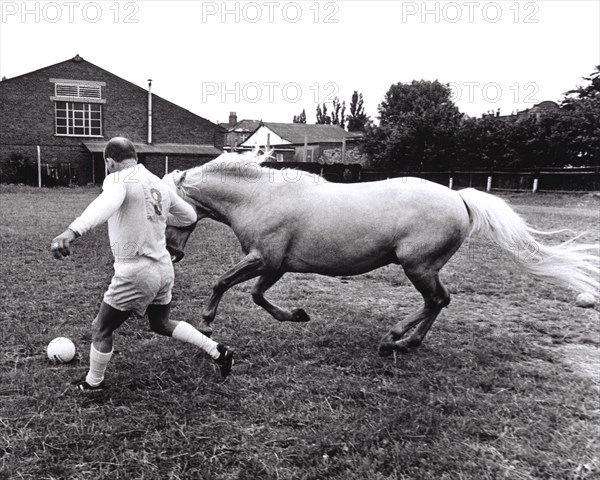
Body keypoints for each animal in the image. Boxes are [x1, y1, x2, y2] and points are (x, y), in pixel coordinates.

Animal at [162, 151, 596, 356]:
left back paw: (392, 339)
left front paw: (207, 324)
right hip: (425, 268)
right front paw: (297, 316)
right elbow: (256, 295)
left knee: (435, 300)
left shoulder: (264, 258)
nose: (172, 254)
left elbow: (223, 283)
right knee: (442, 300)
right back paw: (409, 343)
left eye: (164, 207)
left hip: (417, 266)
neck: (261, 197)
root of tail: (459, 197)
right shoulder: (276, 265)